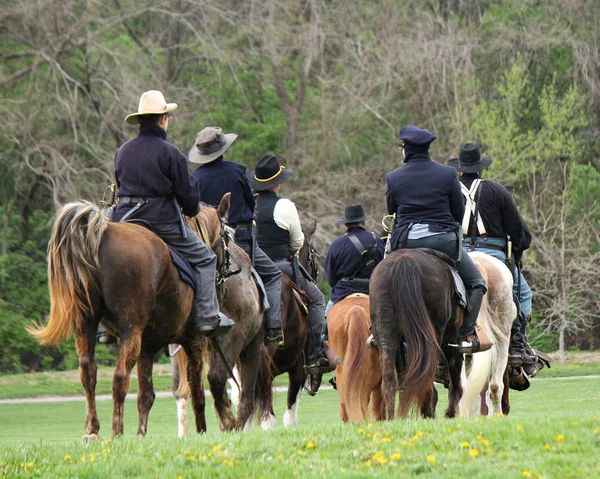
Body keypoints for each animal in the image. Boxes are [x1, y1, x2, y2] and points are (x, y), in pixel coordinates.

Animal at [29, 195, 232, 438]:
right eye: (227, 236)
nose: (228, 273)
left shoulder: (147, 347)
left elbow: (146, 396)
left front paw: (140, 436)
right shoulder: (195, 341)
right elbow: (197, 394)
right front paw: (201, 432)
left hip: (87, 324)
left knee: (88, 371)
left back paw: (93, 430)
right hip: (130, 329)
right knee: (120, 377)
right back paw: (116, 432)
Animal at [370, 249, 464, 422]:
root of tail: (405, 260)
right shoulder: (452, 338)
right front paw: (450, 413)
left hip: (386, 334)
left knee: (389, 377)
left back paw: (392, 418)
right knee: (429, 377)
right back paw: (430, 413)